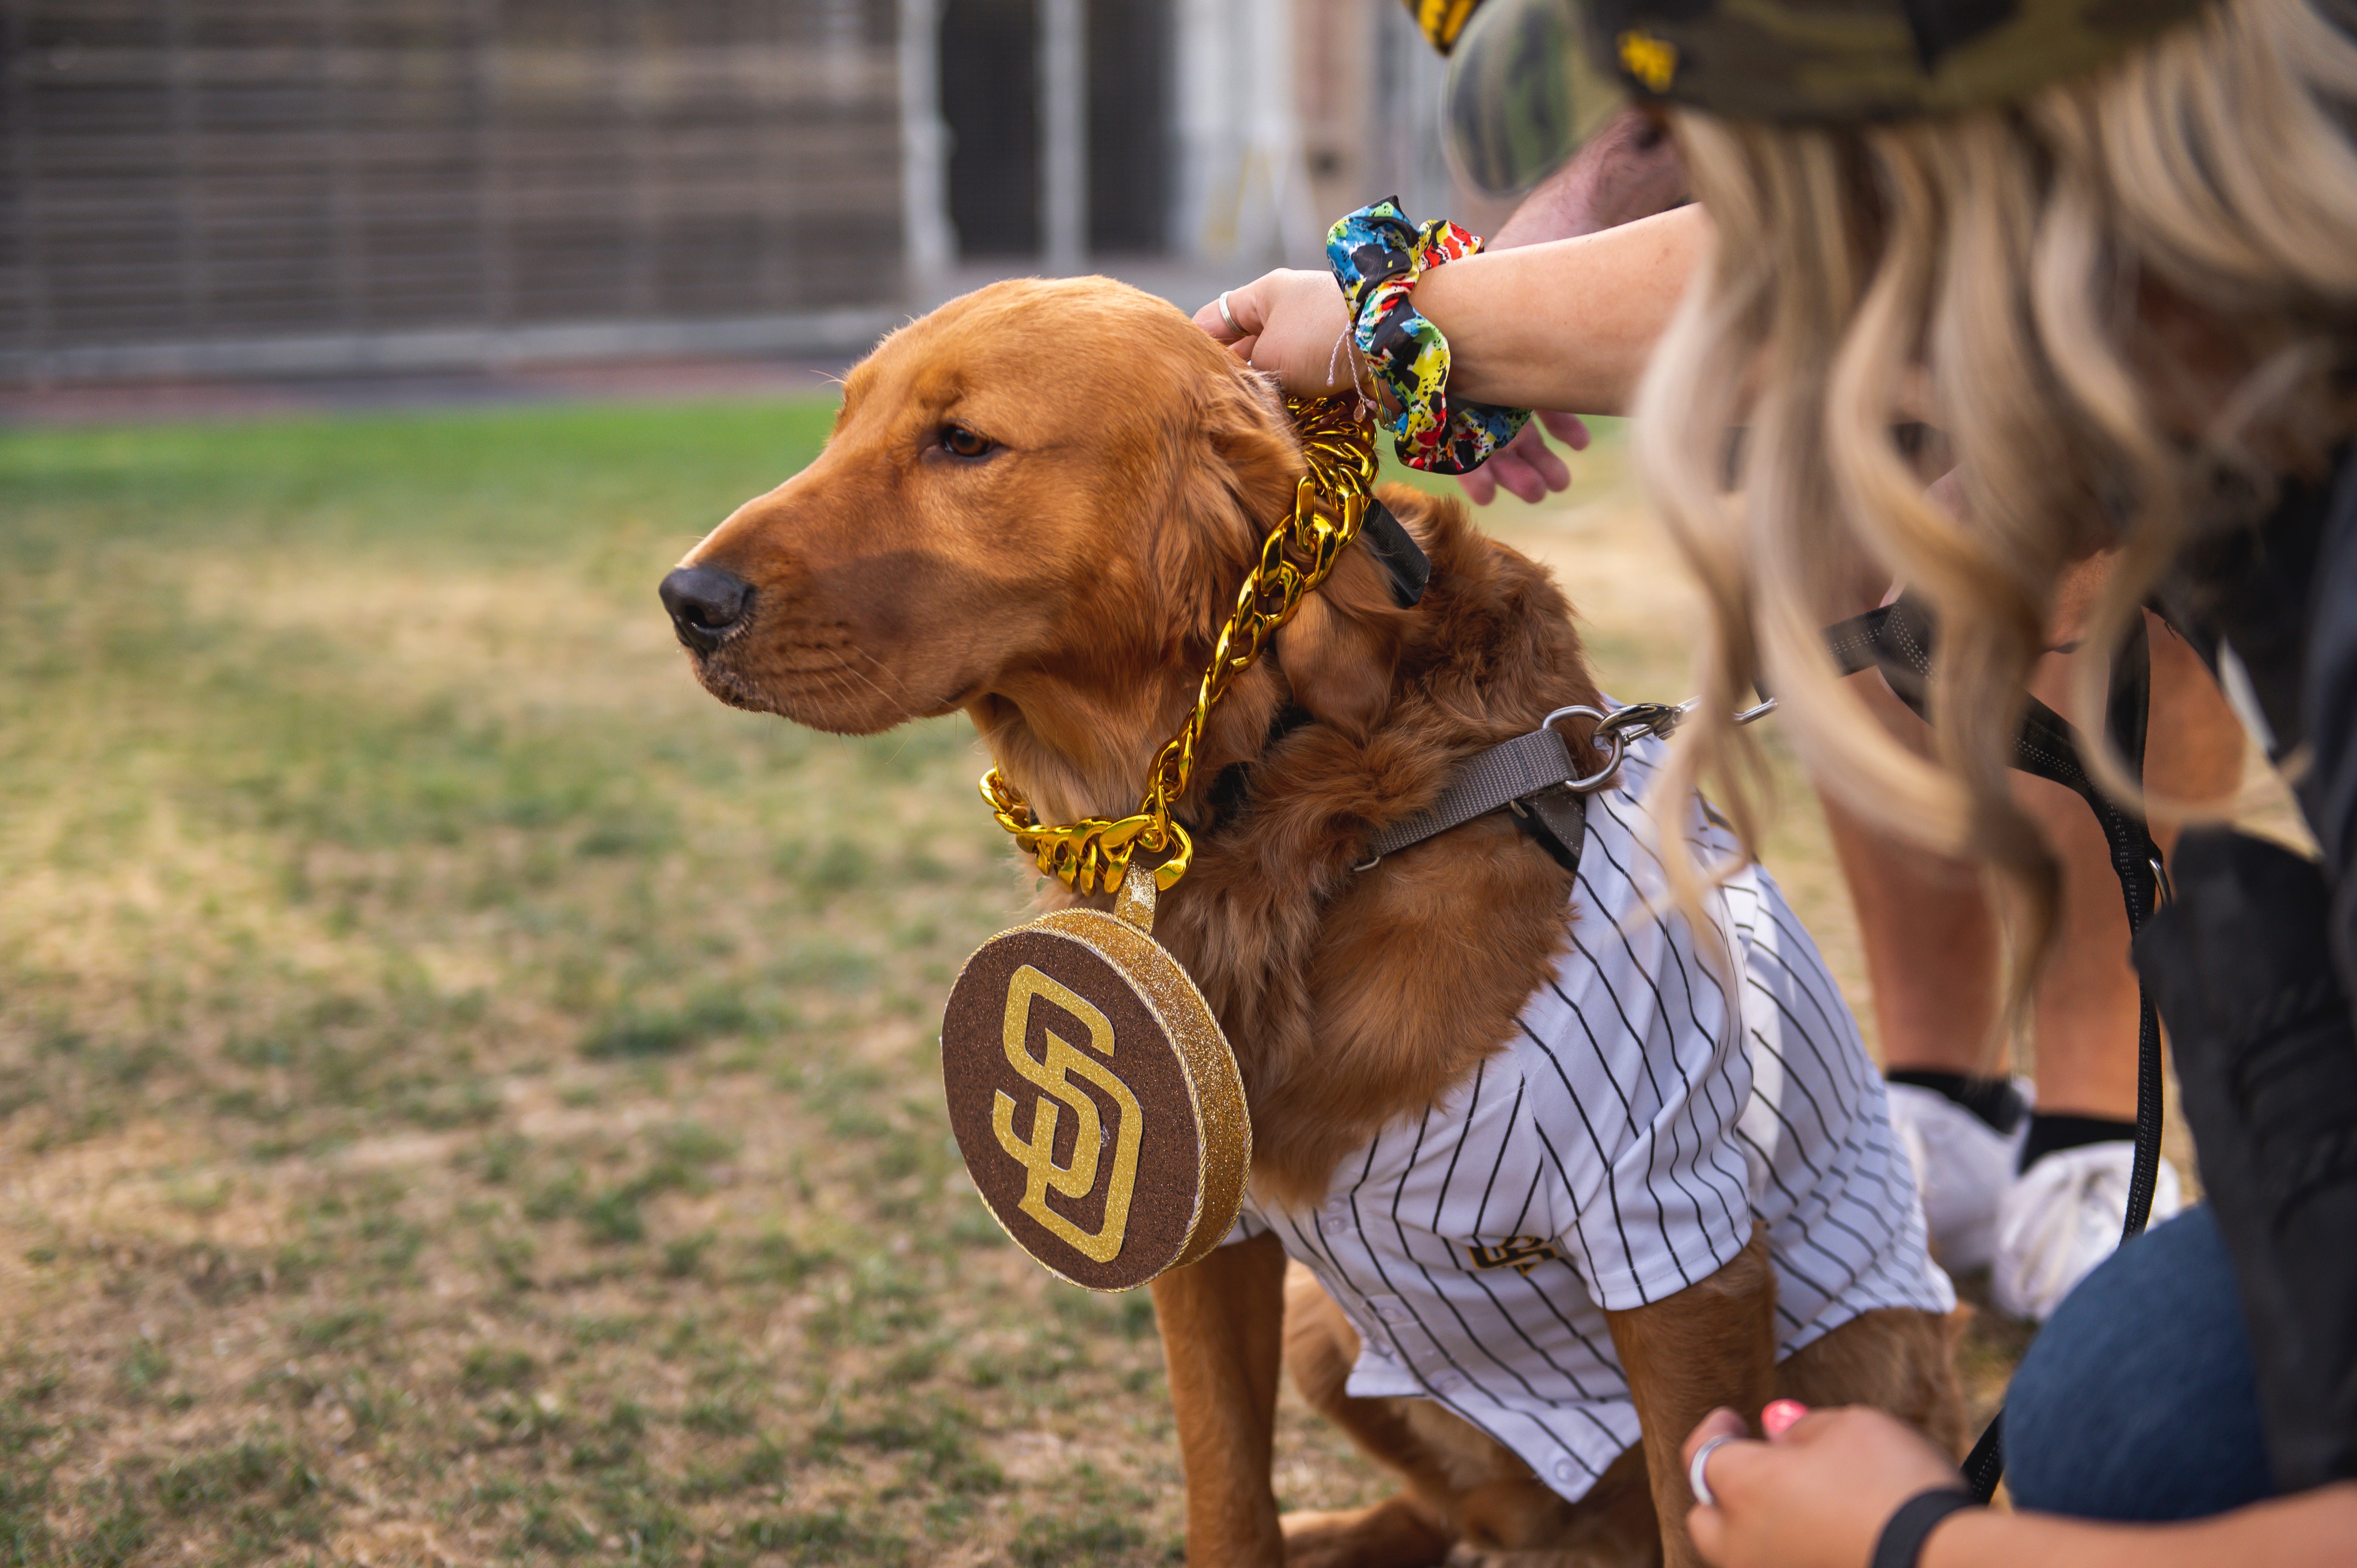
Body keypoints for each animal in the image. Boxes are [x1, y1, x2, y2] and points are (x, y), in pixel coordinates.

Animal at [655, 274, 1961, 1556]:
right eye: (841, 427)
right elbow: (1228, 1492)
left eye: (963, 442)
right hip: (1325, 1336)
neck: (1288, 805)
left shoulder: (1675, 1238)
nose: (685, 599)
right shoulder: (1206, 1225)